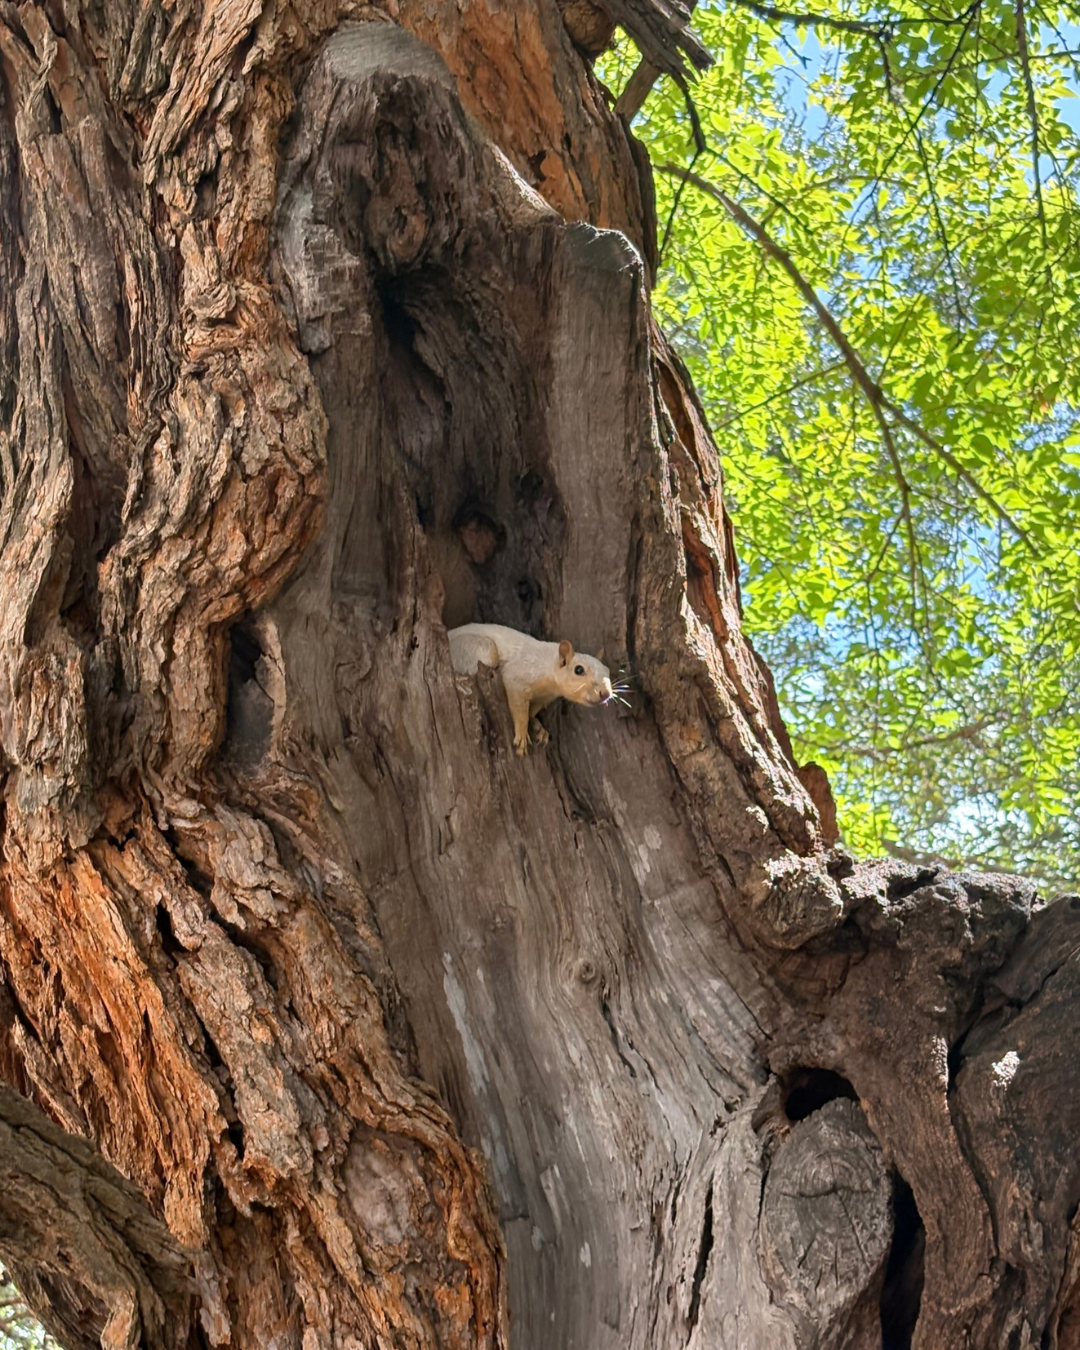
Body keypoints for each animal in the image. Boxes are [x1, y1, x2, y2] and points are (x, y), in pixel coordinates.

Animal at [448, 623, 615, 755]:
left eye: (607, 671)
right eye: (578, 670)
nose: (606, 693)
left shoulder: (543, 697)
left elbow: (532, 711)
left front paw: (538, 727)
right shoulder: (517, 675)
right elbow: (519, 708)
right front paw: (522, 735)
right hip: (478, 649)